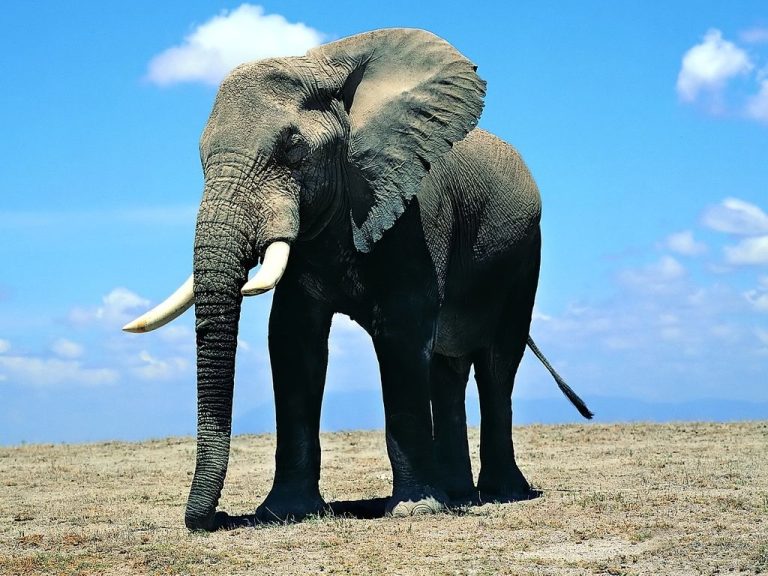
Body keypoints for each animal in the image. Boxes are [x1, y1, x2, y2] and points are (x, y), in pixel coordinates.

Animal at [124, 28, 592, 531]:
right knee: (446, 368)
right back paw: (458, 494)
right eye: (200, 158)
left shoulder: (414, 211)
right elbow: (292, 340)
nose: (213, 518)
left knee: (497, 362)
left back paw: (500, 493)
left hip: (524, 255)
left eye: (293, 149)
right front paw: (284, 511)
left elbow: (402, 336)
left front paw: (415, 510)